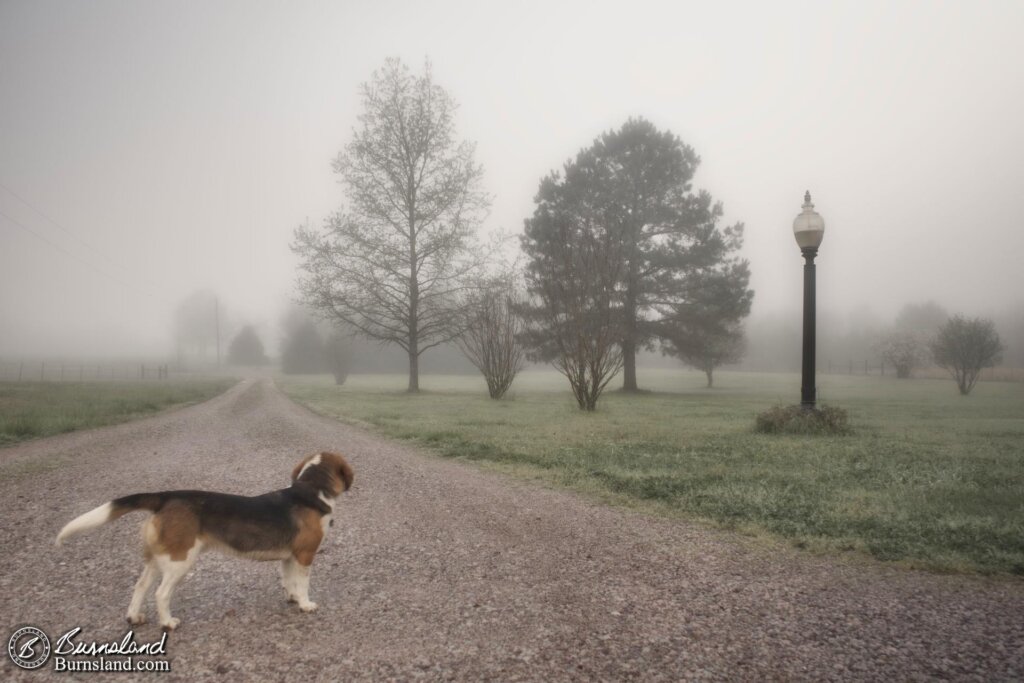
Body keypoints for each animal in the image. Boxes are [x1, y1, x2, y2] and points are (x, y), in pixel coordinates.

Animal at [55, 450, 352, 634]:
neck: (311, 490)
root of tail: (166, 497)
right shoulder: (304, 554)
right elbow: (303, 583)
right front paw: (306, 604)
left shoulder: (289, 556)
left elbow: (289, 581)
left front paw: (292, 598)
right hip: (180, 560)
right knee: (161, 594)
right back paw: (168, 623)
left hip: (157, 559)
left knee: (140, 587)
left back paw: (135, 617)